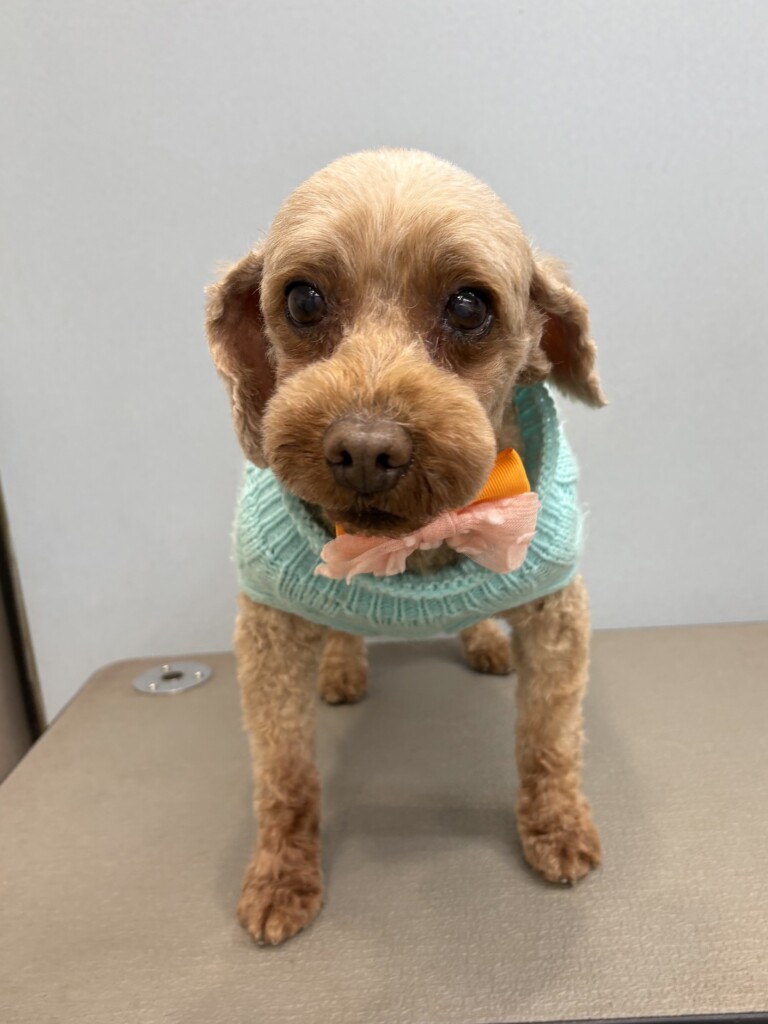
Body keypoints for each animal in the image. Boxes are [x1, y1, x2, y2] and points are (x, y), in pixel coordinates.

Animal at [206, 148, 605, 946]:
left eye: (469, 306)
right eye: (302, 300)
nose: (365, 448)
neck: (417, 544)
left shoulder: (555, 610)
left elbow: (549, 738)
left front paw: (556, 827)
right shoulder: (267, 634)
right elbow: (284, 772)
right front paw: (281, 877)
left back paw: (484, 641)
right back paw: (341, 668)